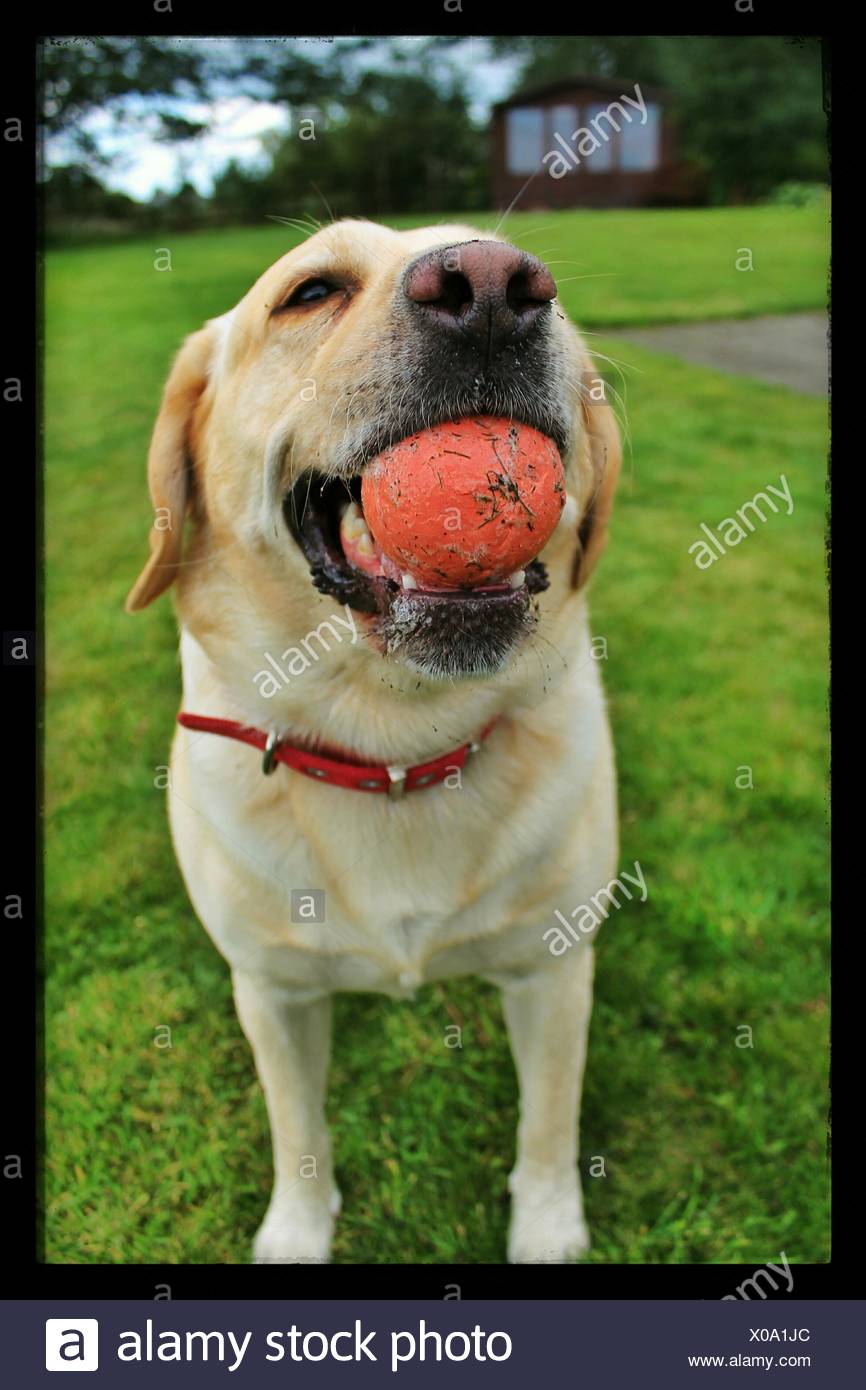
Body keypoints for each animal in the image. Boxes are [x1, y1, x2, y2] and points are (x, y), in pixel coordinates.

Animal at [127, 214, 617, 1262]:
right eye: (310, 293)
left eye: (520, 273)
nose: (495, 287)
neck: (395, 746)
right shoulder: (271, 991)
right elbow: (297, 1129)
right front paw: (298, 1233)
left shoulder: (554, 971)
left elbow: (548, 1123)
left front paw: (548, 1227)